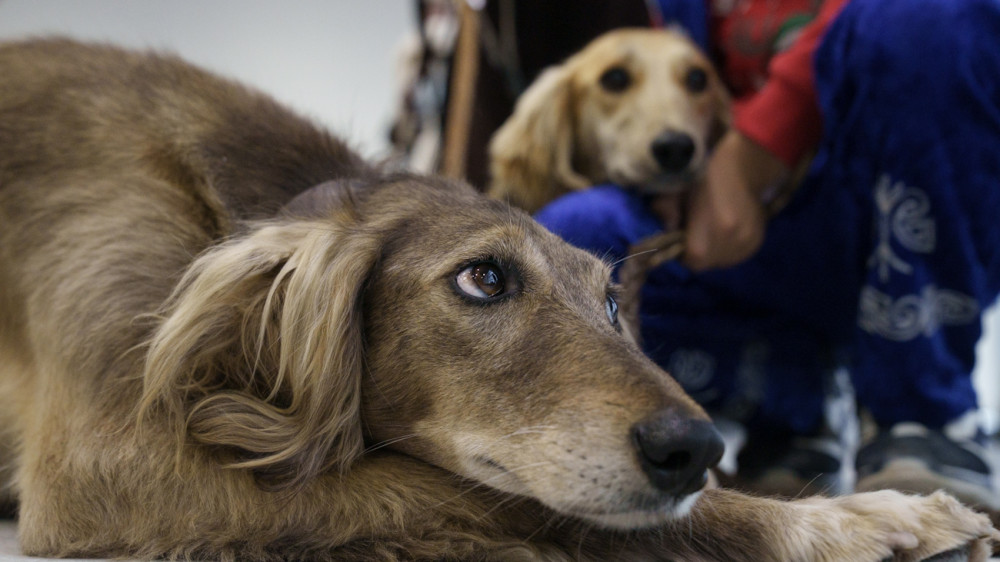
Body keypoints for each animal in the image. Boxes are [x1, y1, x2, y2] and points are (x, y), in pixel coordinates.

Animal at [0, 39, 992, 560]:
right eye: (483, 278)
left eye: (612, 304)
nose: (696, 447)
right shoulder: (115, 471)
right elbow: (517, 502)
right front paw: (856, 518)